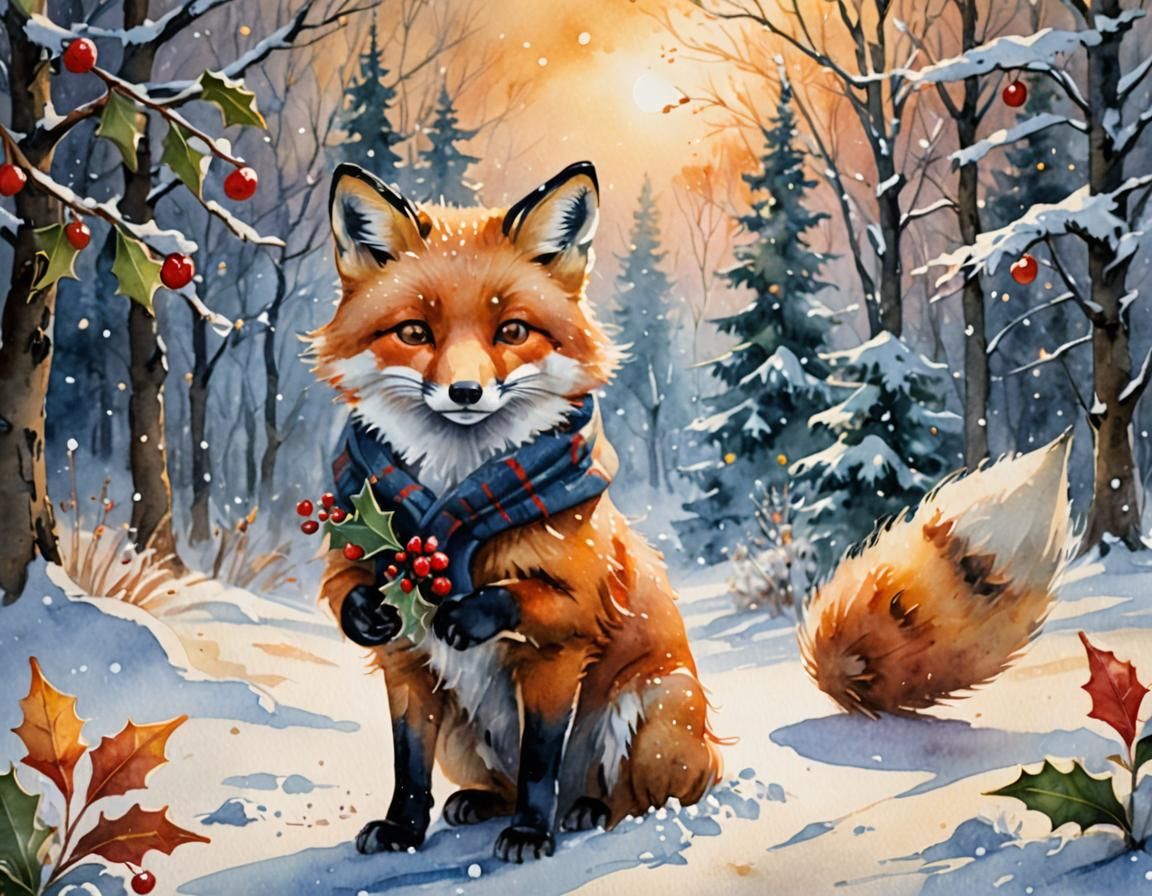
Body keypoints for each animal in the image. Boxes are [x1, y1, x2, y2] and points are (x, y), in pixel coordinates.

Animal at [309, 161, 721, 863]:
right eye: (415, 332)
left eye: (512, 331)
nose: (465, 392)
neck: (459, 501)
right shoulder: (405, 658)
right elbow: (406, 760)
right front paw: (402, 830)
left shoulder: (562, 642)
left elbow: (539, 758)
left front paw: (530, 831)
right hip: (463, 736)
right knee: (486, 780)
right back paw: (479, 803)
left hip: (657, 703)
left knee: (638, 798)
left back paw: (584, 811)